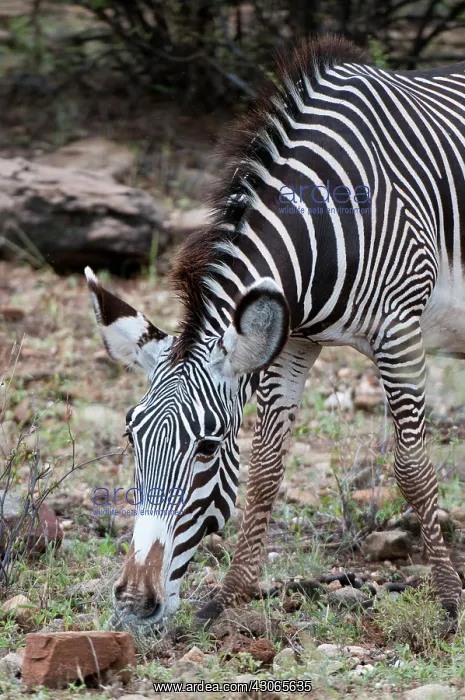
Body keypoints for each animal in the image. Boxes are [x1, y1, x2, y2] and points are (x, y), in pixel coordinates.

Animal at [86, 35, 465, 631]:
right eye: (131, 436)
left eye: (207, 448)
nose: (133, 604)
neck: (331, 219)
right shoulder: (294, 341)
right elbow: (266, 468)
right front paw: (229, 596)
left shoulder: (399, 331)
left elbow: (412, 468)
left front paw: (449, 598)